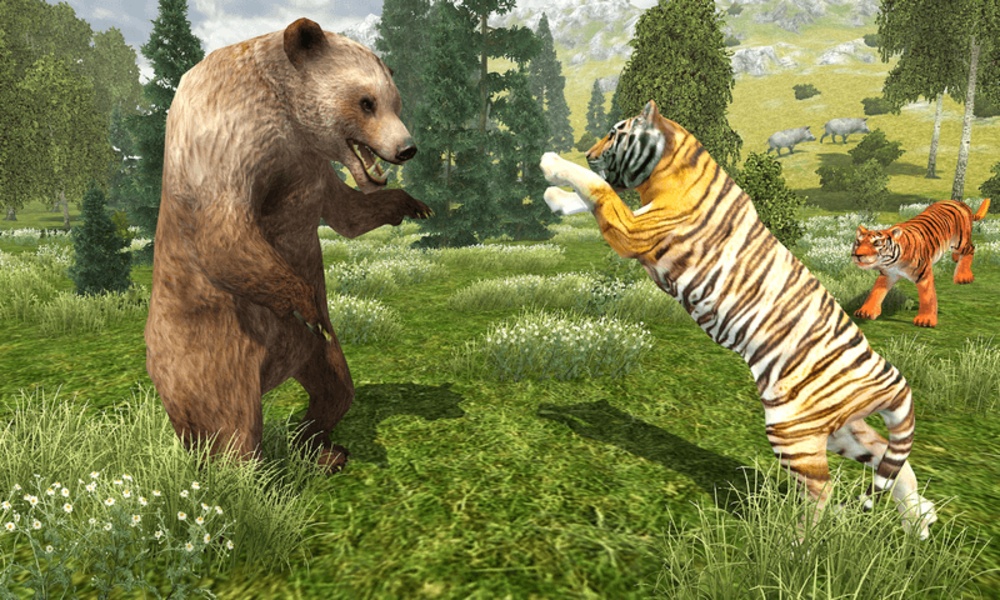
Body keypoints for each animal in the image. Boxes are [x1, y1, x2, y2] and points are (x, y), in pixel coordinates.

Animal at [539, 100, 937, 538]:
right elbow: (597, 192)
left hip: (791, 431)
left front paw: (553, 165)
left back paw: (797, 542)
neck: (667, 169)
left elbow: (600, 189)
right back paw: (919, 521)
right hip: (839, 431)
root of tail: (889, 374)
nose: (590, 153)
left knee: (822, 489)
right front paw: (557, 197)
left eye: (614, 133)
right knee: (892, 461)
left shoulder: (633, 227)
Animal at [852, 199, 990, 328]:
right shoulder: (888, 274)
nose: (858, 255)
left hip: (960, 242)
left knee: (970, 249)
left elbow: (927, 297)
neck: (892, 262)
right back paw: (956, 259)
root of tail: (960, 203)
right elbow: (876, 292)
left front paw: (926, 320)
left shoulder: (923, 275)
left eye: (876, 243)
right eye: (858, 243)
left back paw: (963, 276)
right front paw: (866, 311)